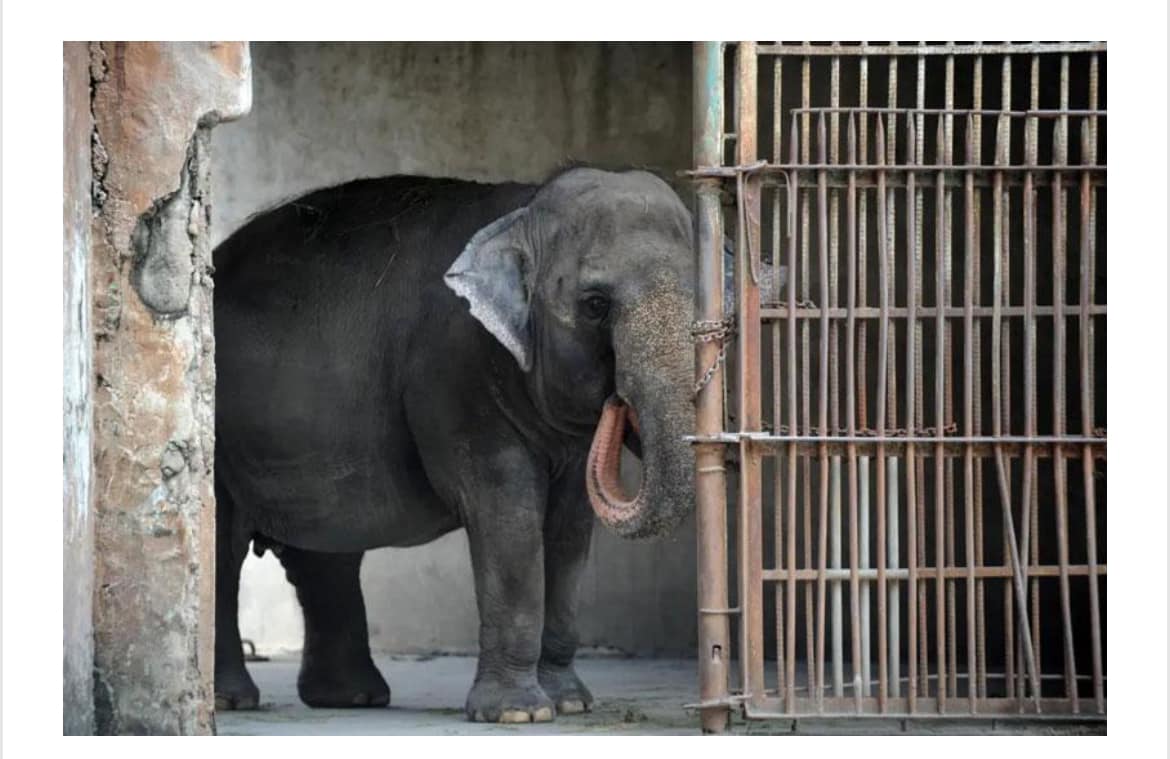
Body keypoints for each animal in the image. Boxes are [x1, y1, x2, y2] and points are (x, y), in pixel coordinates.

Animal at [211, 168, 698, 723]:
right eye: (596, 304)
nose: (617, 402)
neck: (523, 211)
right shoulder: (459, 379)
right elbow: (507, 514)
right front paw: (519, 714)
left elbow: (570, 528)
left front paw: (570, 703)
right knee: (227, 548)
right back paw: (230, 699)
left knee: (327, 554)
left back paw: (353, 698)